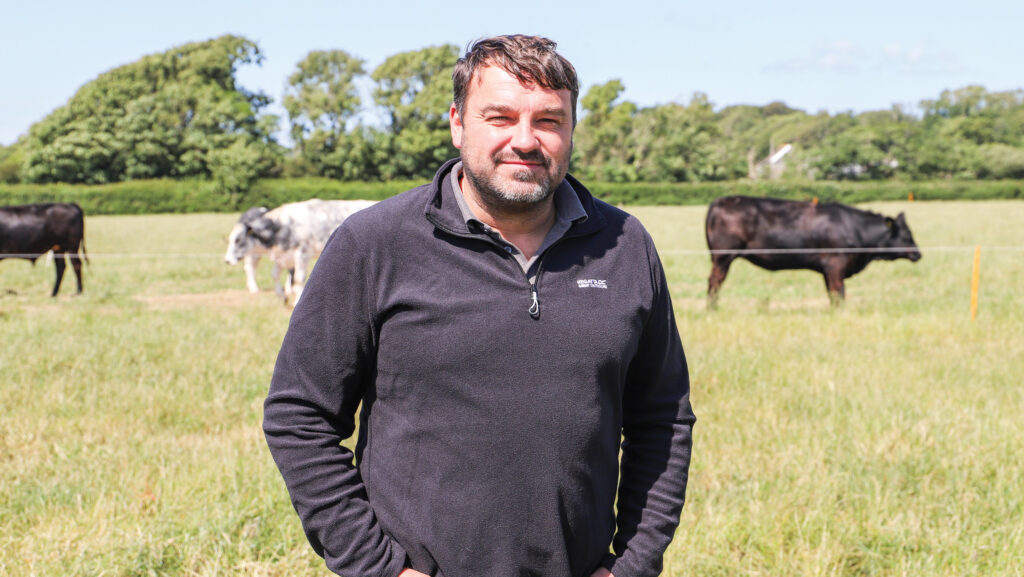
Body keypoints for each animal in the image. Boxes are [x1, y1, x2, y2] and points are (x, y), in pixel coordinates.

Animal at [224, 198, 376, 305]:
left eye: (238, 239)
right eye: (230, 239)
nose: (227, 260)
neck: (281, 226)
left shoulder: (302, 253)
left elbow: (298, 278)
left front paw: (296, 299)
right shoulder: (284, 256)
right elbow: (275, 275)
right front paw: (283, 295)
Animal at [708, 195, 925, 307]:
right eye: (906, 234)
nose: (918, 253)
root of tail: (720, 201)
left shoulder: (827, 270)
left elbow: (831, 293)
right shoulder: (836, 265)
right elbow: (839, 293)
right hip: (723, 257)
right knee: (714, 282)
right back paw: (712, 308)